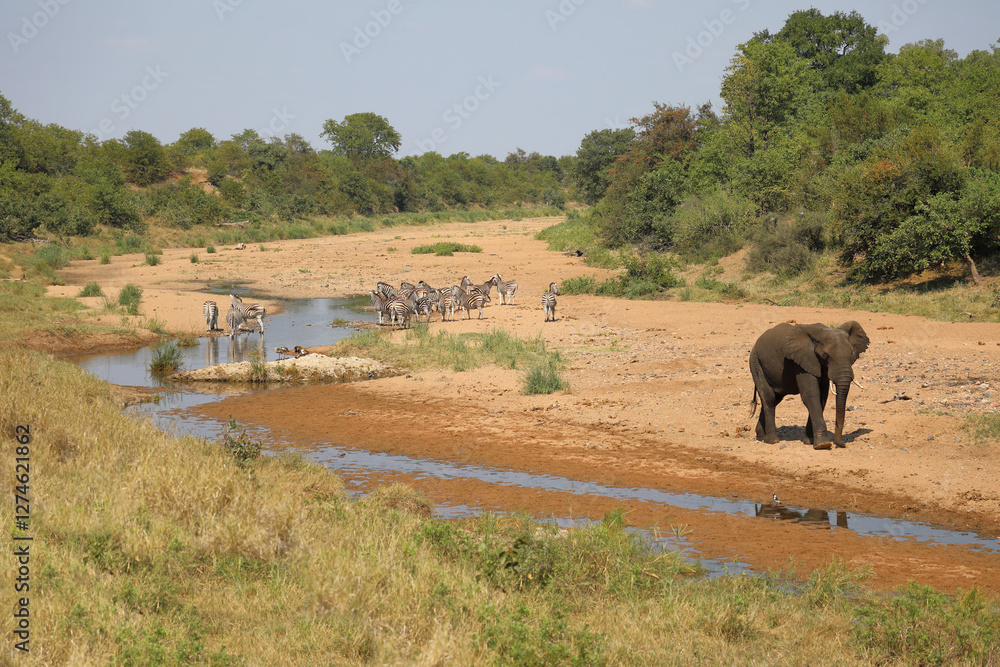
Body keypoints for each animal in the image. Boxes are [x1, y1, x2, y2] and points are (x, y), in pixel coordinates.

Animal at [749, 321, 869, 450]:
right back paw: (772, 441)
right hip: (756, 364)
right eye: (825, 355)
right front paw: (823, 444)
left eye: (851, 353)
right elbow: (811, 396)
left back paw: (761, 437)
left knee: (775, 399)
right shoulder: (801, 361)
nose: (842, 444)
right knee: (769, 398)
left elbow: (822, 397)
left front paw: (809, 441)